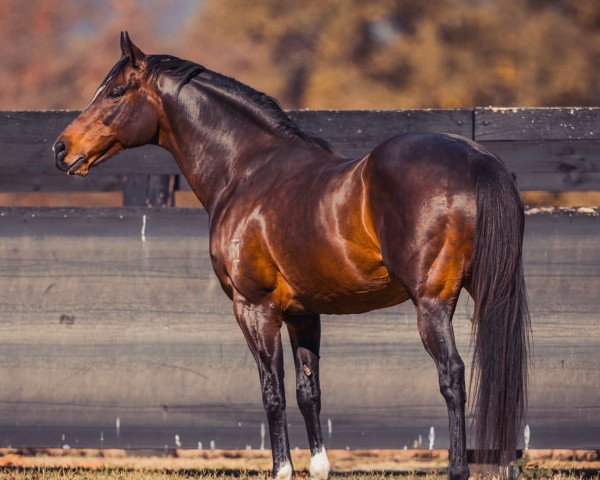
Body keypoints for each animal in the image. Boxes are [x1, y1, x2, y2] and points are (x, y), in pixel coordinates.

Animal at [52, 32, 528, 480]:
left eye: (115, 92)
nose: (61, 149)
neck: (245, 169)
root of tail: (477, 159)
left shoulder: (254, 308)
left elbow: (273, 392)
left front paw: (282, 469)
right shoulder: (304, 313)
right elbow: (307, 391)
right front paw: (318, 467)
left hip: (430, 304)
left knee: (452, 375)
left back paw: (458, 468)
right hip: (491, 294)